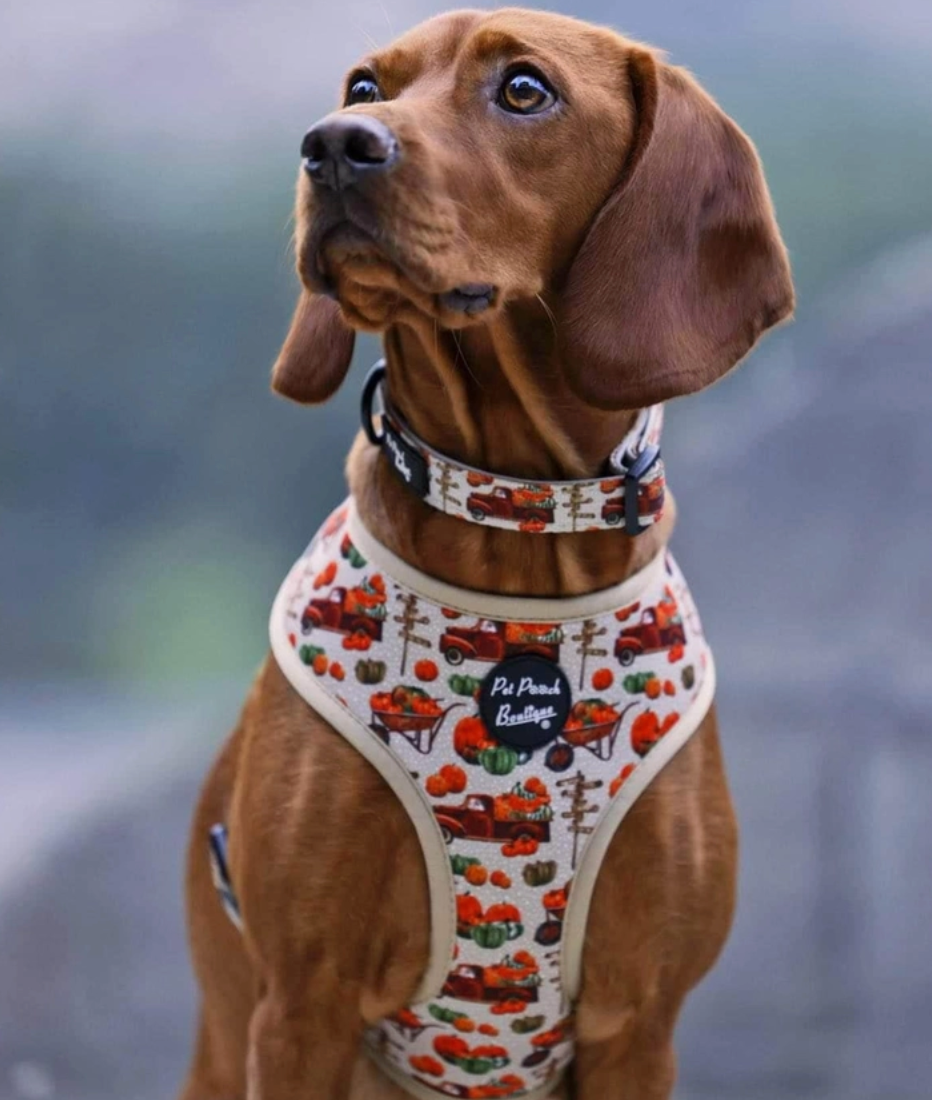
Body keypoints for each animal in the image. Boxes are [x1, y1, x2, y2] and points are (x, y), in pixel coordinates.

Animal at [180, 4, 796, 1095]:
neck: (518, 532)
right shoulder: (299, 1006)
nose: (332, 144)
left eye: (523, 89)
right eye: (364, 87)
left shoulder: (638, 1021)